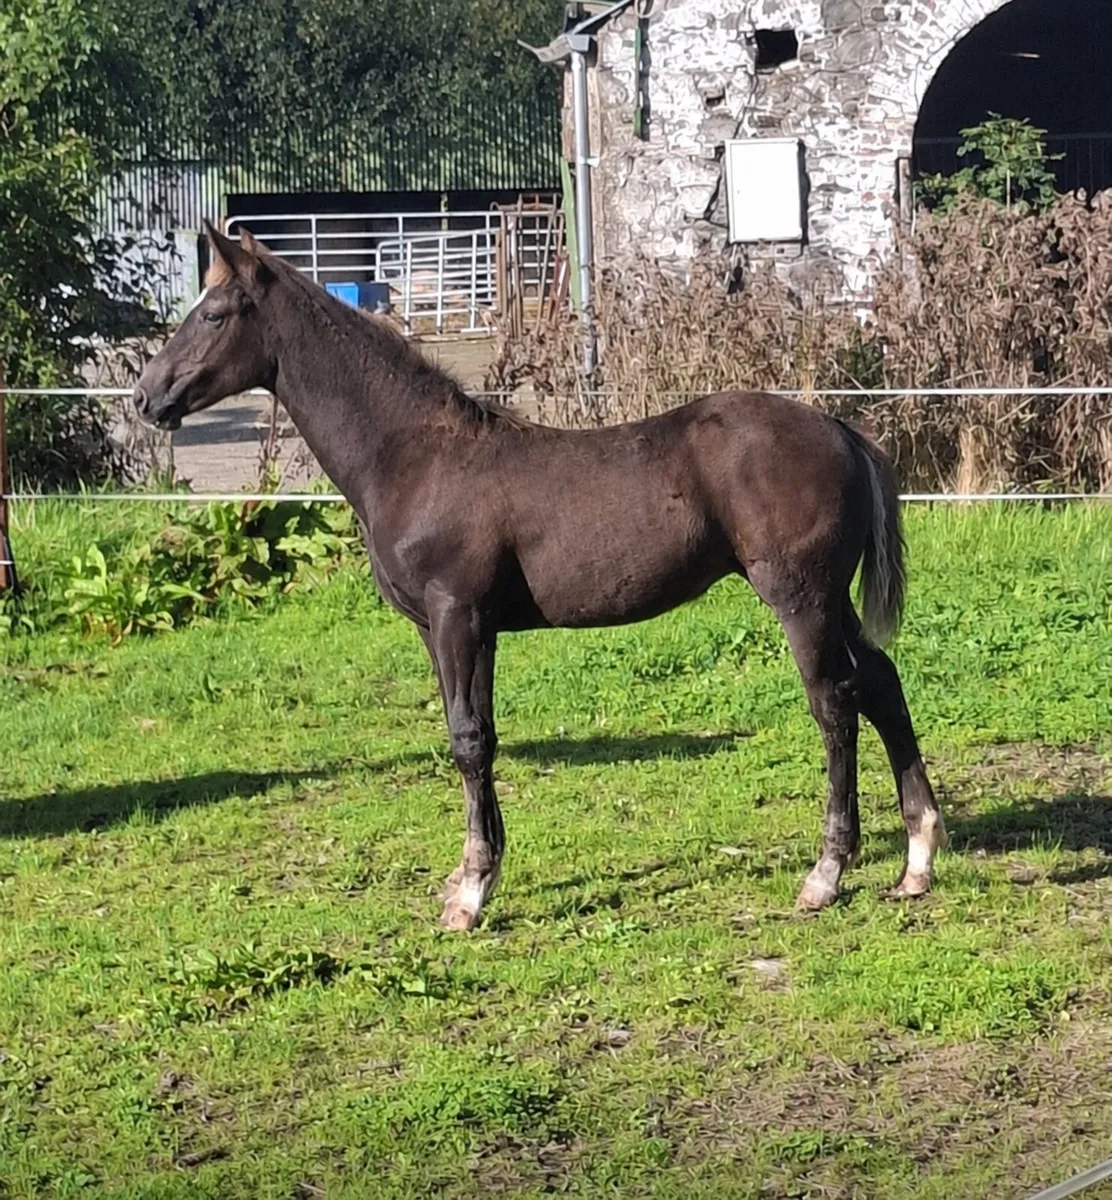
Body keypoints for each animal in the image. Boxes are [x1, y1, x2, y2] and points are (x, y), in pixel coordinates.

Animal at [132, 223, 946, 931]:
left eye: (213, 313)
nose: (147, 397)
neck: (416, 456)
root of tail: (839, 429)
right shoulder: (448, 629)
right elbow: (471, 732)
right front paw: (472, 875)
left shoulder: (458, 614)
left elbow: (469, 740)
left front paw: (472, 894)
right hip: (832, 600)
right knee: (882, 683)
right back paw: (916, 861)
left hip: (800, 598)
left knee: (836, 705)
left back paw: (826, 874)